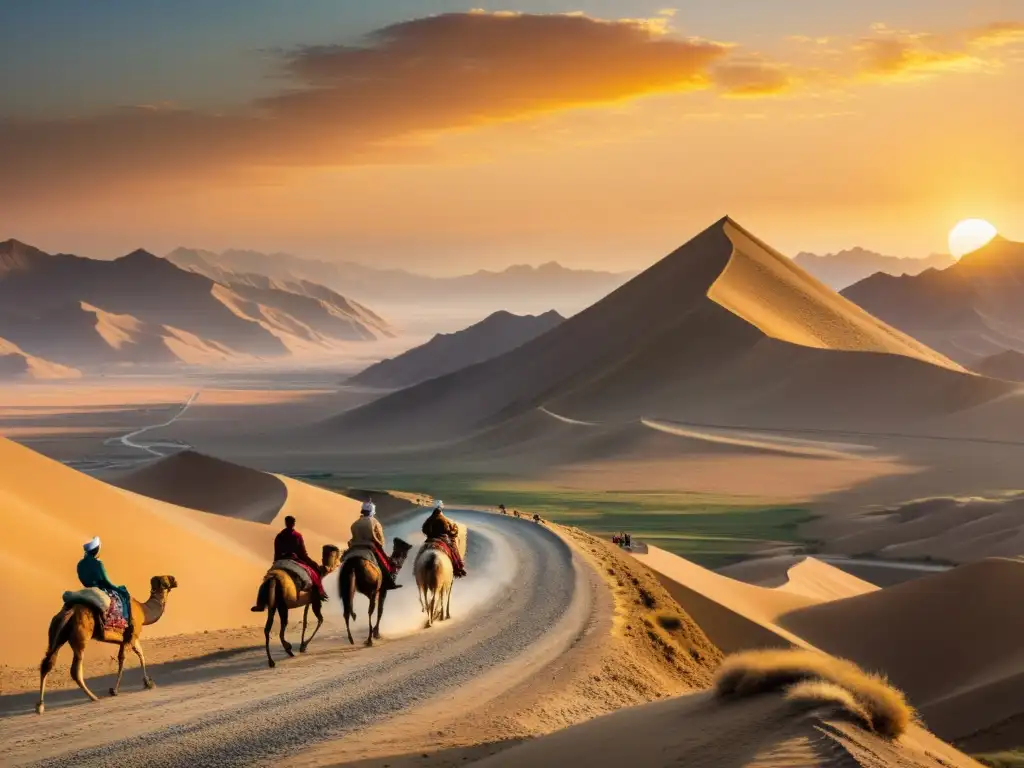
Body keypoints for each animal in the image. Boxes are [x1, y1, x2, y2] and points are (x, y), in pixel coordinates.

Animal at [36, 573, 178, 712]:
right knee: (75, 670)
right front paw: (114, 690)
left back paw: (40, 706)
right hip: (80, 637)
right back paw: (94, 697)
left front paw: (148, 682)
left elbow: (140, 655)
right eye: (168, 578)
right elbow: (124, 659)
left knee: (47, 663)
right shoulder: (131, 636)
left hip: (57, 634)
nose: (176, 580)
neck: (144, 611)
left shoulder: (129, 639)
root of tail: (70, 611)